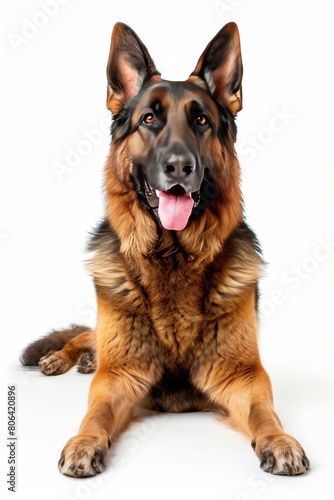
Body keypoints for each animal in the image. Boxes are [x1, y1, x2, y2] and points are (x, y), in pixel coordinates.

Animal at [20, 22, 310, 476]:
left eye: (202, 120)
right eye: (149, 118)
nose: (178, 167)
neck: (173, 257)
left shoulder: (244, 375)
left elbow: (265, 412)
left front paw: (279, 440)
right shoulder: (118, 375)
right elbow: (96, 412)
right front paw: (85, 441)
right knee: (85, 335)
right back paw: (63, 357)